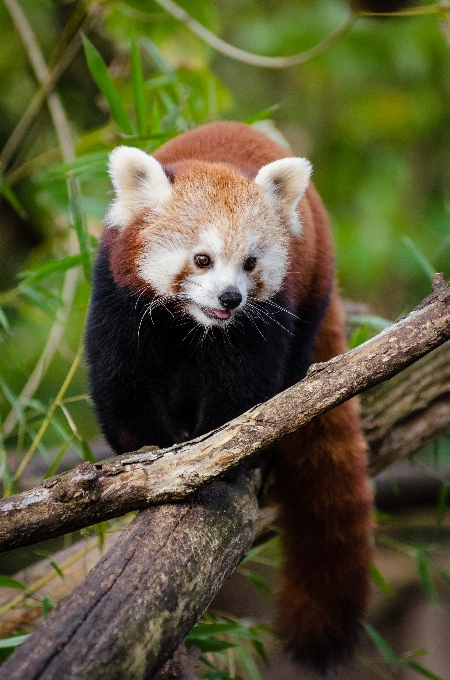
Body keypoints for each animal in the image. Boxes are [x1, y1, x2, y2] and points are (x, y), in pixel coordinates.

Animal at [84, 121, 372, 668]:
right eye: (202, 259)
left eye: (250, 263)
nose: (230, 298)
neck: (192, 323)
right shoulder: (119, 293)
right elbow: (123, 377)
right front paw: (152, 452)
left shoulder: (265, 316)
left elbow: (243, 393)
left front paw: (219, 458)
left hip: (312, 291)